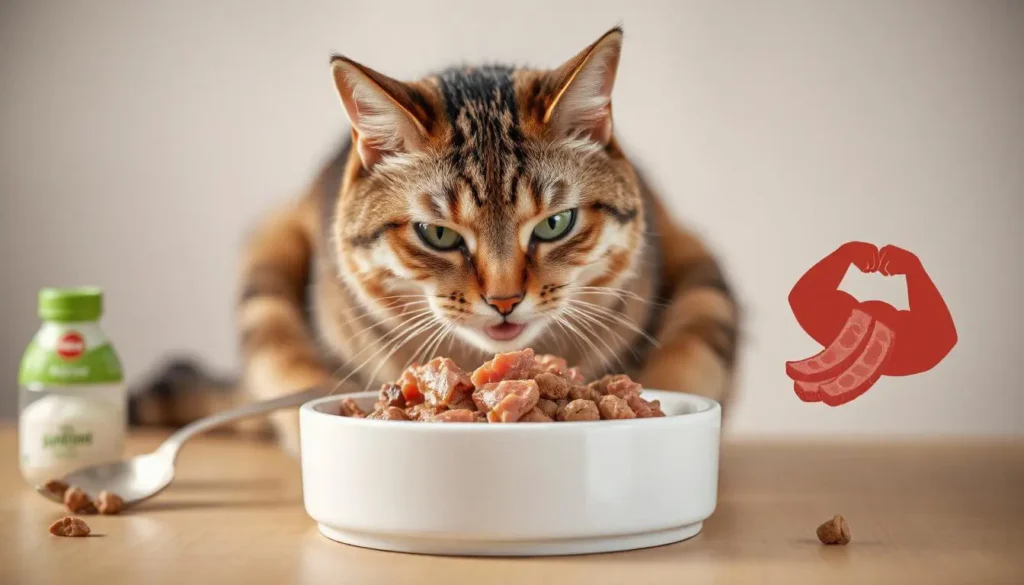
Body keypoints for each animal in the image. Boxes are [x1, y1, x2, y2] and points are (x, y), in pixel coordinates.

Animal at [130, 27, 737, 454]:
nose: (504, 300)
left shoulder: (702, 297)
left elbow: (683, 369)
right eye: (438, 234)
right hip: (269, 259)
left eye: (554, 224)